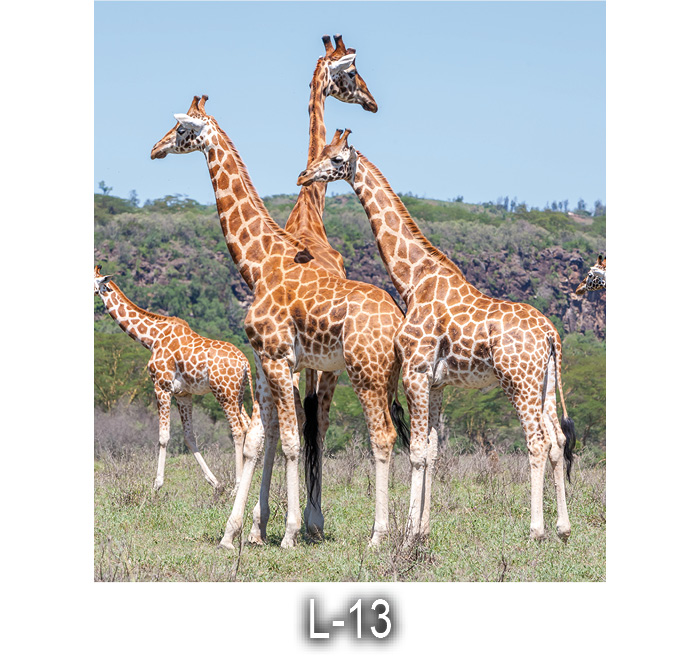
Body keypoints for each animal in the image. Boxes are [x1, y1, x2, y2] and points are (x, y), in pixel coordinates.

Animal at [94, 265, 254, 493]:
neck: (151, 338)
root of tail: (245, 363)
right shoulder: (183, 394)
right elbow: (189, 437)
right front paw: (215, 482)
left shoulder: (161, 386)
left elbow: (163, 436)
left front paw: (156, 485)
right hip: (238, 394)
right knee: (248, 426)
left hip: (224, 393)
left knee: (238, 430)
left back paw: (238, 486)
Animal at [151, 96, 407, 549]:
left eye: (181, 129)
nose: (155, 149)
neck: (259, 263)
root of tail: (397, 320)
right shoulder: (263, 361)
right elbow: (257, 438)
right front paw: (233, 532)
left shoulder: (279, 358)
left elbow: (288, 439)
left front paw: (287, 532)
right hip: (385, 376)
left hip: (365, 373)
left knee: (381, 436)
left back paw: (378, 535)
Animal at [247, 33, 380, 544]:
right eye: (352, 74)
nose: (373, 102)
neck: (308, 211)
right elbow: (313, 424)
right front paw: (310, 516)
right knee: (310, 422)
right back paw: (304, 516)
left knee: (293, 421)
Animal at [297, 129, 577, 542]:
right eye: (321, 152)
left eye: (335, 159)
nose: (303, 176)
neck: (413, 280)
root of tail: (551, 335)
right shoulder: (437, 382)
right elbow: (431, 451)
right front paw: (422, 529)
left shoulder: (415, 371)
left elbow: (415, 451)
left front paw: (406, 532)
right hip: (544, 384)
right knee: (557, 441)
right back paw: (563, 527)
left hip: (518, 380)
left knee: (537, 442)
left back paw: (536, 530)